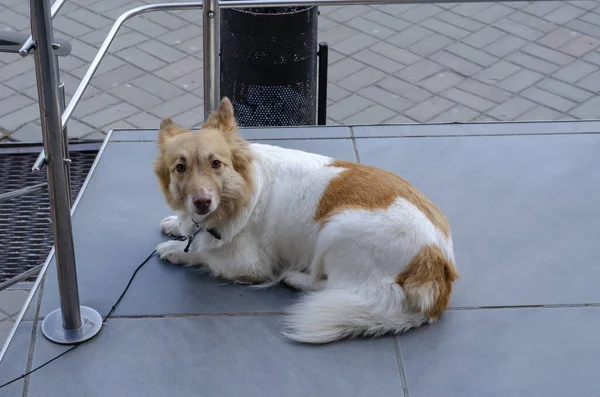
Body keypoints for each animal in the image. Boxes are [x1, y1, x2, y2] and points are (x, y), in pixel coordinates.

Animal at [152, 96, 458, 344]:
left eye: (216, 163)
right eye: (180, 168)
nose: (202, 201)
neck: (240, 191)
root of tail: (436, 262)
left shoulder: (248, 264)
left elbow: (204, 253)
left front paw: (175, 250)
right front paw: (176, 224)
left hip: (336, 229)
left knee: (330, 285)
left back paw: (295, 278)